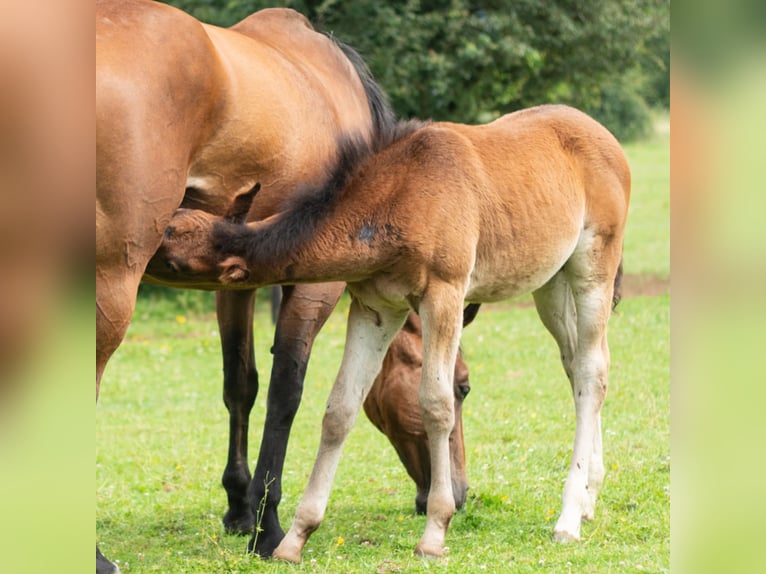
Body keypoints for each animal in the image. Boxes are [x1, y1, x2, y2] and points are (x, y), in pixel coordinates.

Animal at [96, 0, 412, 572]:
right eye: (463, 389)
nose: (452, 499)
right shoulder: (316, 285)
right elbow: (287, 390)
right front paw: (267, 529)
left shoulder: (237, 280)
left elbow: (240, 385)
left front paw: (240, 508)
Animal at [148, 104, 632, 564]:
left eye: (172, 247)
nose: (141, 247)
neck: (400, 196)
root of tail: (604, 136)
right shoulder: (375, 307)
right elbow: (339, 410)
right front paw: (296, 538)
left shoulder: (444, 293)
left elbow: (435, 405)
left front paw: (435, 532)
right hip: (549, 282)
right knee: (574, 365)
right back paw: (588, 495)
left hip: (593, 267)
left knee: (593, 370)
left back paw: (568, 518)